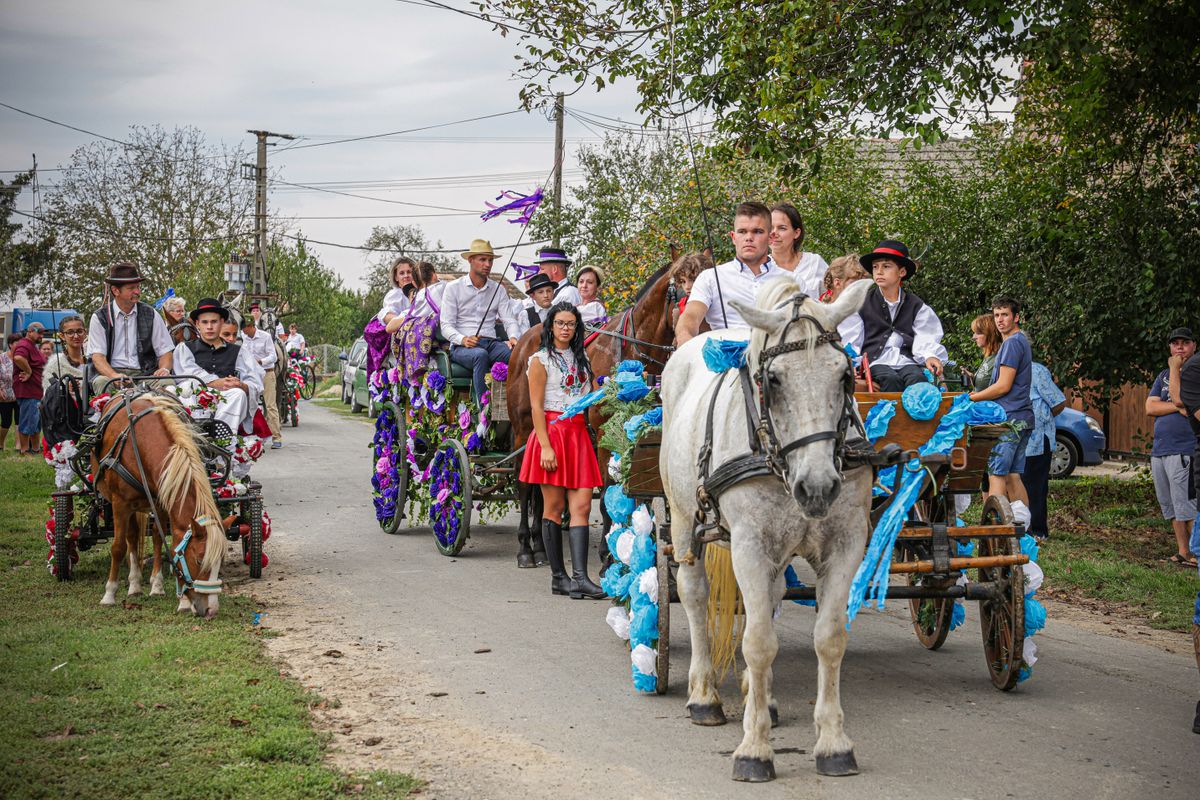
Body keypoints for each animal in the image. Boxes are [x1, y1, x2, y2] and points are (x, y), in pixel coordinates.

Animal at [87, 393, 225, 618]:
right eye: (199, 560)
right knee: (130, 538)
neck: (141, 445)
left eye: (220, 562)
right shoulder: (119, 503)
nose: (211, 610)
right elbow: (118, 547)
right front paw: (109, 594)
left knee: (140, 536)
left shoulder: (163, 500)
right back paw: (134, 584)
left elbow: (163, 540)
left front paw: (165, 591)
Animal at [504, 256, 686, 563]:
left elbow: (639, 491)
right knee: (525, 485)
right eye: (684, 283)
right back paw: (526, 549)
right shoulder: (602, 435)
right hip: (523, 429)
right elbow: (607, 490)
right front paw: (607, 552)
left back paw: (540, 546)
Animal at [657, 275, 873, 782]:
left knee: (770, 601)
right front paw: (754, 750)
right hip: (684, 521)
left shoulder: (846, 541)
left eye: (845, 375)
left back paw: (766, 700)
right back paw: (704, 695)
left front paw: (833, 742)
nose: (818, 486)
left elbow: (829, 639)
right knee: (694, 594)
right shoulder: (750, 545)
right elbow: (756, 643)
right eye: (773, 380)